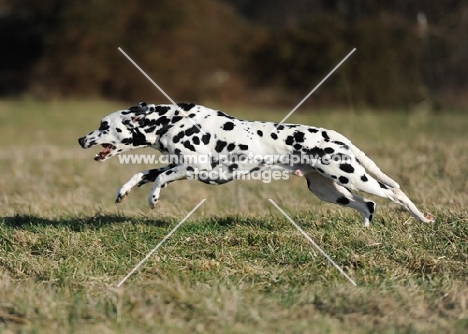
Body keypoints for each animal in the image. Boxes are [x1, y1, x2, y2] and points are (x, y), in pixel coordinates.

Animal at [79, 102, 436, 227]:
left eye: (104, 125)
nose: (81, 139)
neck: (171, 121)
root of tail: (337, 135)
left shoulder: (195, 168)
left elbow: (158, 179)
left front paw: (153, 199)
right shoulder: (177, 166)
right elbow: (142, 172)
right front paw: (123, 191)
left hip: (353, 177)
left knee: (396, 194)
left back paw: (424, 219)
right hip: (327, 189)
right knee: (368, 206)